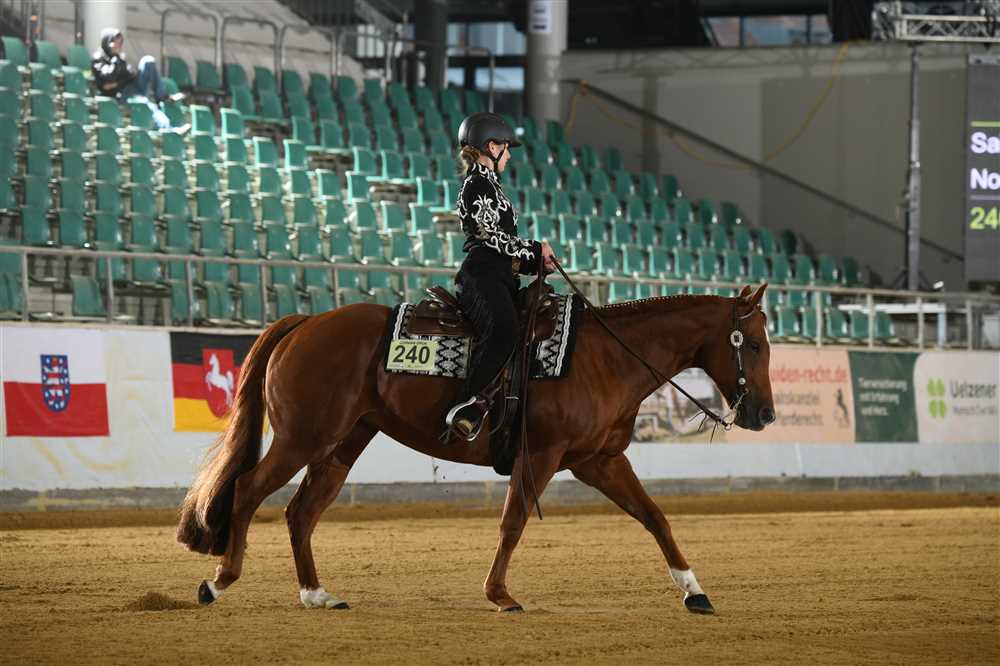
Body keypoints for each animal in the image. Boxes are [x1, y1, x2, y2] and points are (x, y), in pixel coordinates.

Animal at [177, 282, 775, 615]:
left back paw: (316, 594)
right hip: (303, 437)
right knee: (248, 489)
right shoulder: (542, 456)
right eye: (754, 344)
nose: (765, 415)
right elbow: (513, 522)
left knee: (301, 512)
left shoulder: (598, 461)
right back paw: (218, 582)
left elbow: (655, 517)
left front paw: (694, 591)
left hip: (344, 442)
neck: (605, 357)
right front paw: (500, 595)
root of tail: (307, 323)